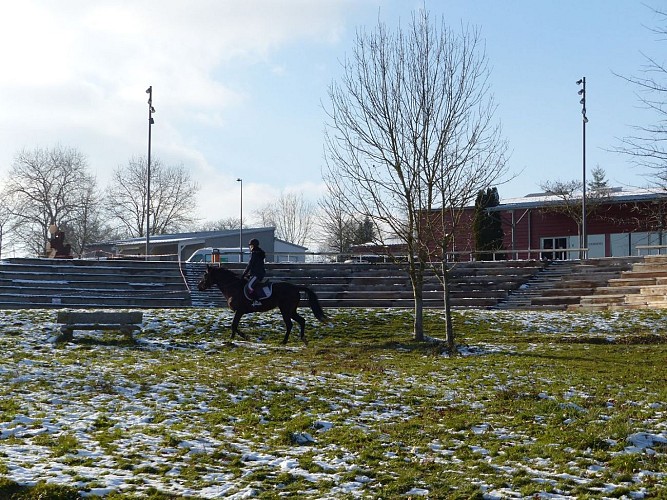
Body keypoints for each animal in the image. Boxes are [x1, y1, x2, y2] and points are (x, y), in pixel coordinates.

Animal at [197, 266, 328, 344]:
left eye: (205, 275)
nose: (199, 287)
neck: (233, 287)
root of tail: (295, 287)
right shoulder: (239, 312)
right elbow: (234, 325)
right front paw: (234, 338)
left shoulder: (239, 311)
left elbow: (233, 325)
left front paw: (241, 337)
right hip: (291, 310)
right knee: (302, 320)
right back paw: (303, 339)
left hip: (285, 310)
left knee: (290, 324)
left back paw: (284, 341)